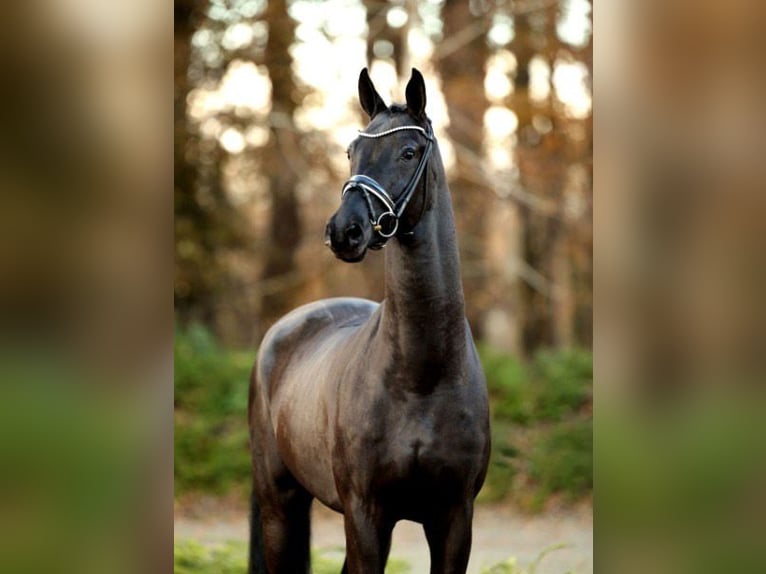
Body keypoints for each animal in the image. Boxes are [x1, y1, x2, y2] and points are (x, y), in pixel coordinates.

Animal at [248, 68, 490, 574]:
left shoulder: (454, 518)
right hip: (280, 504)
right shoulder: (365, 514)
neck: (421, 376)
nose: (344, 231)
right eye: (351, 152)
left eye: (409, 151)